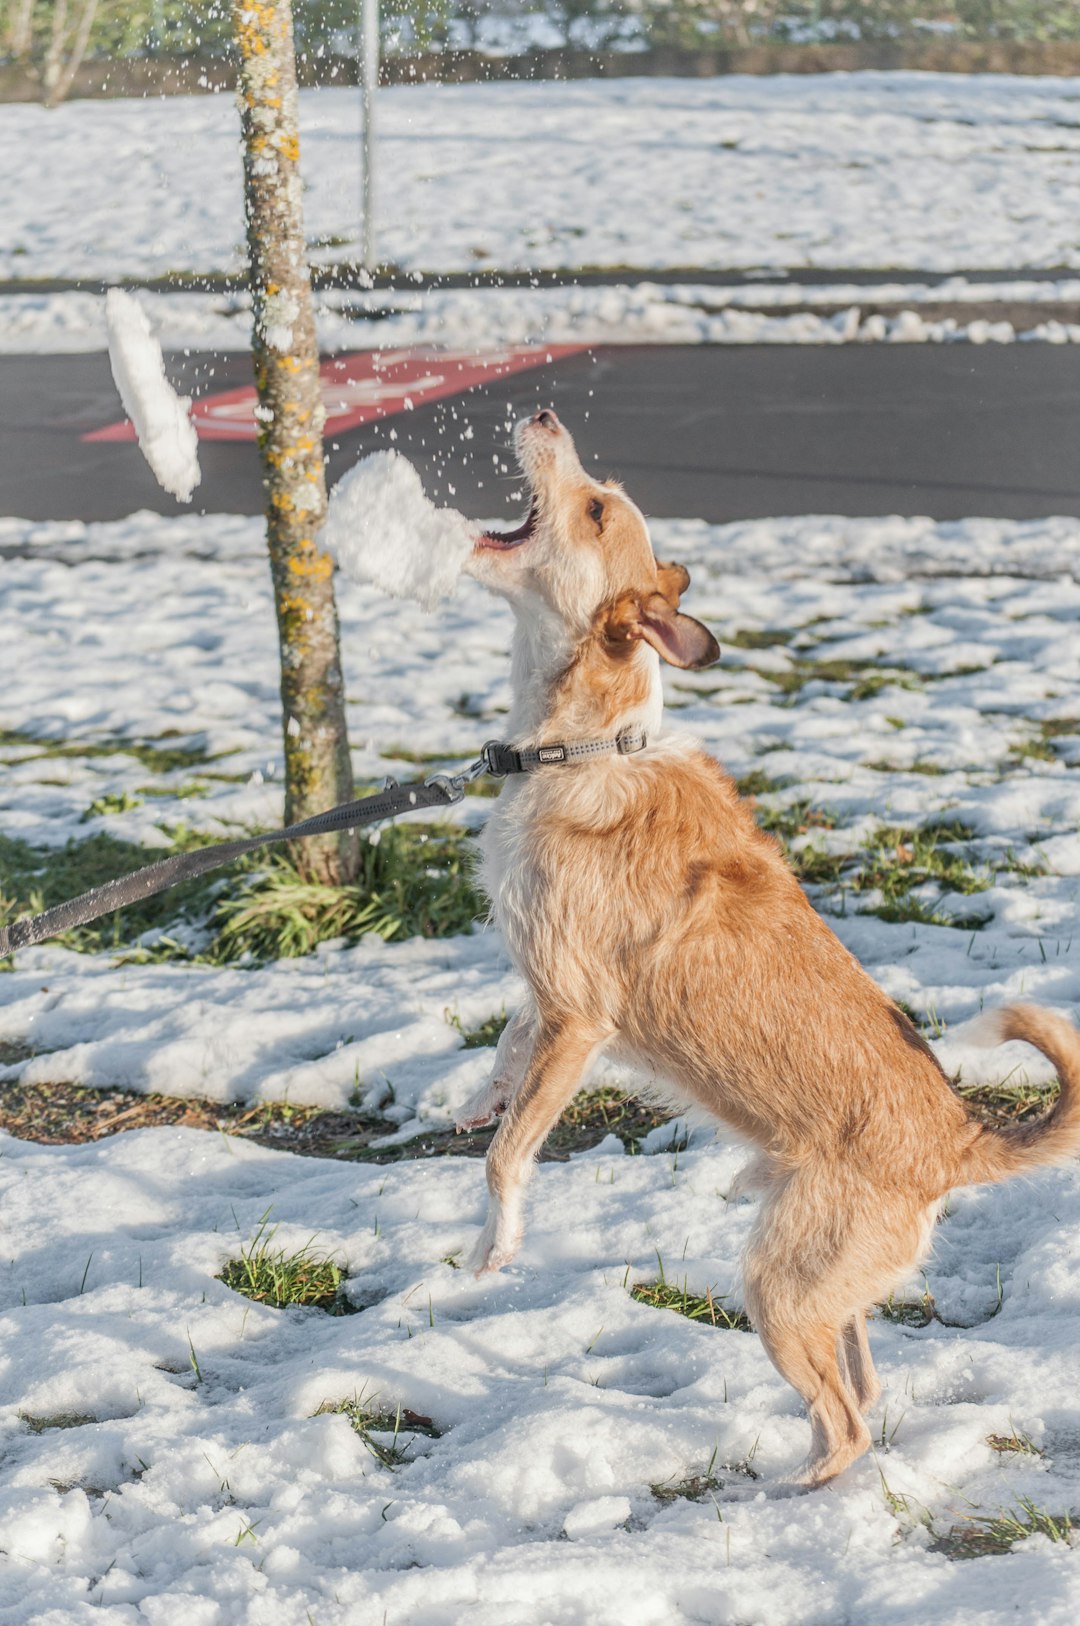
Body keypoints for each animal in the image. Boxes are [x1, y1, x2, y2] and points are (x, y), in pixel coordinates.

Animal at [455, 406, 1080, 1489]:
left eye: (595, 508)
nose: (542, 416)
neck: (582, 748)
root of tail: (958, 1146)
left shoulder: (578, 1018)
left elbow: (509, 1159)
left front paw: (496, 1248)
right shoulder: (543, 987)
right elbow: (504, 1053)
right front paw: (469, 1097)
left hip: (779, 1290)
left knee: (847, 1423)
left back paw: (785, 1499)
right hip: (821, 1289)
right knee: (862, 1386)